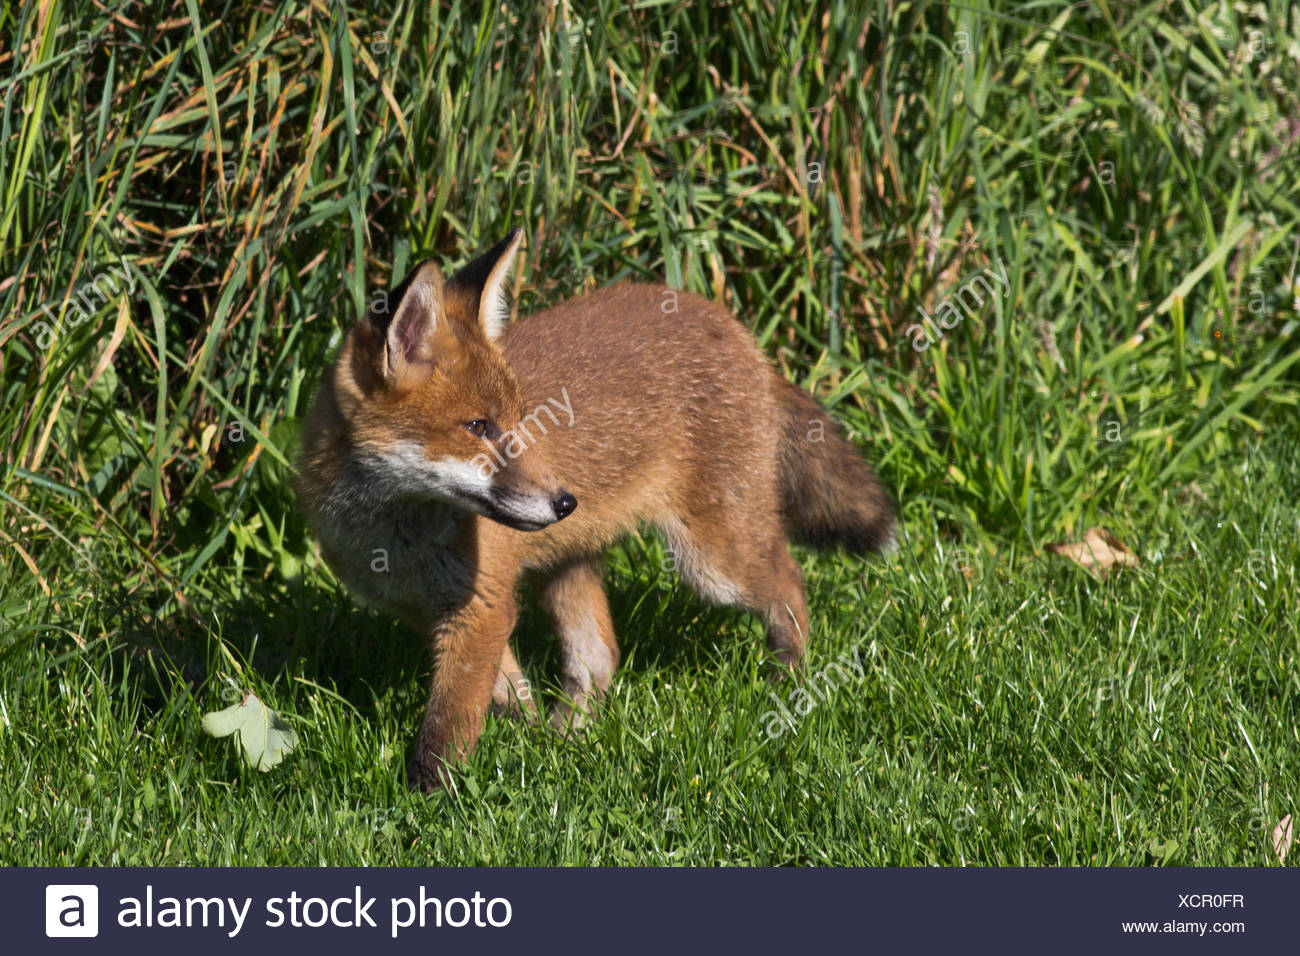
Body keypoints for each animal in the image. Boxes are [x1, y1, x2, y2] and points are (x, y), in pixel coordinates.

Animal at [297, 229, 896, 791]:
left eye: (517, 421)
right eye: (478, 427)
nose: (565, 501)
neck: (393, 542)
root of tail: (731, 326)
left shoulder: (481, 607)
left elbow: (448, 724)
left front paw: (431, 799)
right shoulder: (432, 613)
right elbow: (508, 693)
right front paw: (524, 742)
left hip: (713, 564)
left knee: (789, 580)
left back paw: (787, 680)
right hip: (569, 567)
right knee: (599, 658)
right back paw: (568, 738)